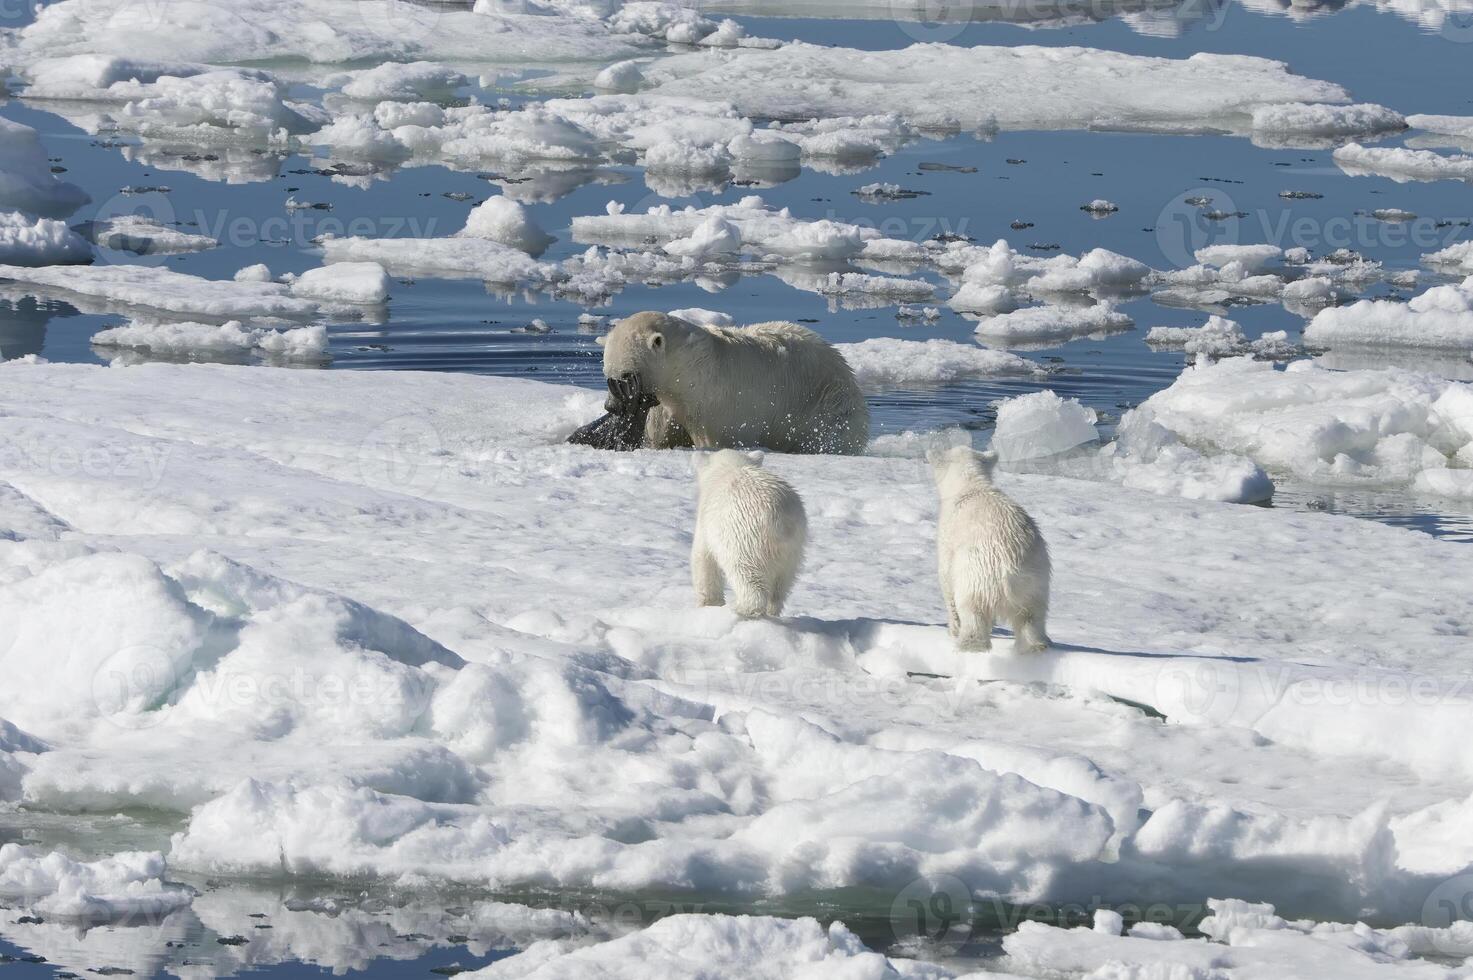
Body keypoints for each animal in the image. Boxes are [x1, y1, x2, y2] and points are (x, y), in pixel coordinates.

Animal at [592, 310, 866, 453]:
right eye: (607, 373)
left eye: (625, 375)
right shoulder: (671, 403)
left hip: (829, 403)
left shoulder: (722, 405)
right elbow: (661, 434)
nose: (610, 406)